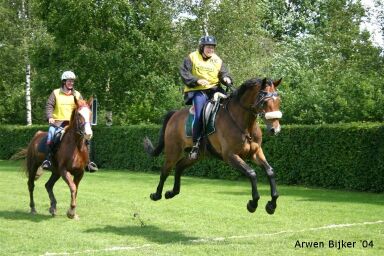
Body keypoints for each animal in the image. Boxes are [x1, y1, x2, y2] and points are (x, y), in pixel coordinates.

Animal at [144, 78, 282, 214]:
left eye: (279, 101)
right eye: (265, 102)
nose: (275, 129)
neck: (244, 124)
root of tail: (174, 114)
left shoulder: (256, 153)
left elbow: (270, 171)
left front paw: (272, 204)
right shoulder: (230, 156)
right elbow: (251, 173)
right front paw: (253, 203)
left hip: (196, 155)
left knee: (179, 166)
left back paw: (172, 192)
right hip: (173, 151)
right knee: (165, 171)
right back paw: (156, 195)